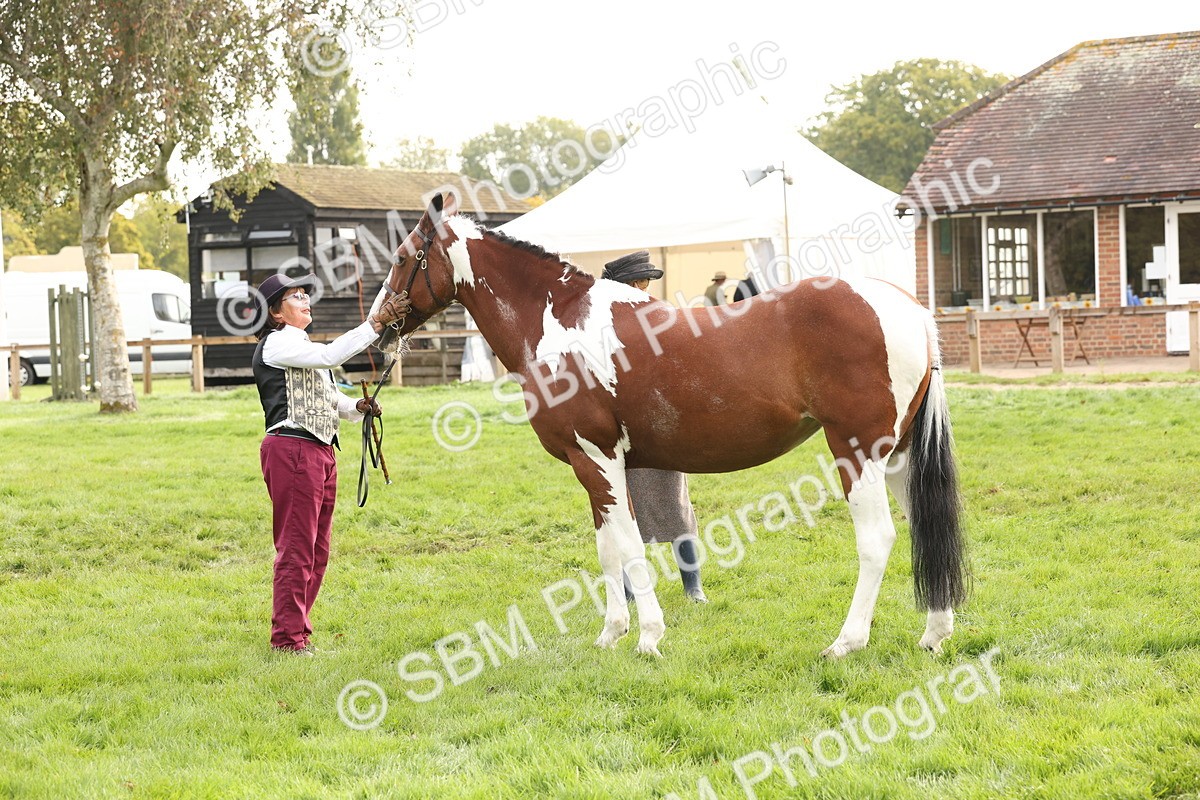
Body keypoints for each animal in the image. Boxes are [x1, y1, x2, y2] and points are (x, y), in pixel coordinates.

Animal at [371, 193, 966, 658]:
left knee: (877, 538)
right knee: (922, 524)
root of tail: (909, 307)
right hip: (898, 454)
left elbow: (631, 547)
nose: (378, 326)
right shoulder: (594, 466)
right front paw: (610, 633)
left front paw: (648, 636)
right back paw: (934, 634)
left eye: (401, 256)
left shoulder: (598, 457)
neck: (556, 322)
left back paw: (846, 642)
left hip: (858, 450)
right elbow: (608, 548)